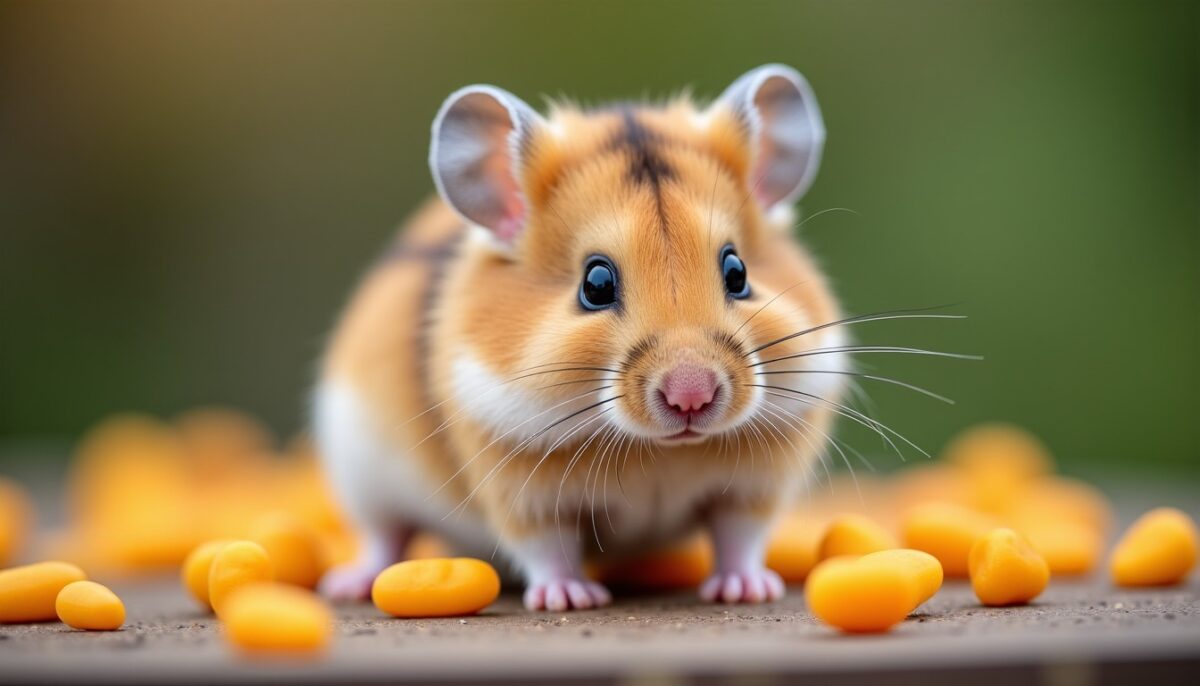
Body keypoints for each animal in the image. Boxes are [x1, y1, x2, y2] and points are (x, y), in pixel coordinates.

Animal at [314, 64, 849, 611]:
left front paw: (747, 592)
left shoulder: (755, 487)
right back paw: (349, 584)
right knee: (385, 534)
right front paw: (570, 599)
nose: (691, 398)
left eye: (737, 272)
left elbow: (739, 537)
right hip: (361, 474)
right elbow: (549, 548)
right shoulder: (523, 493)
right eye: (596, 284)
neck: (657, 451)